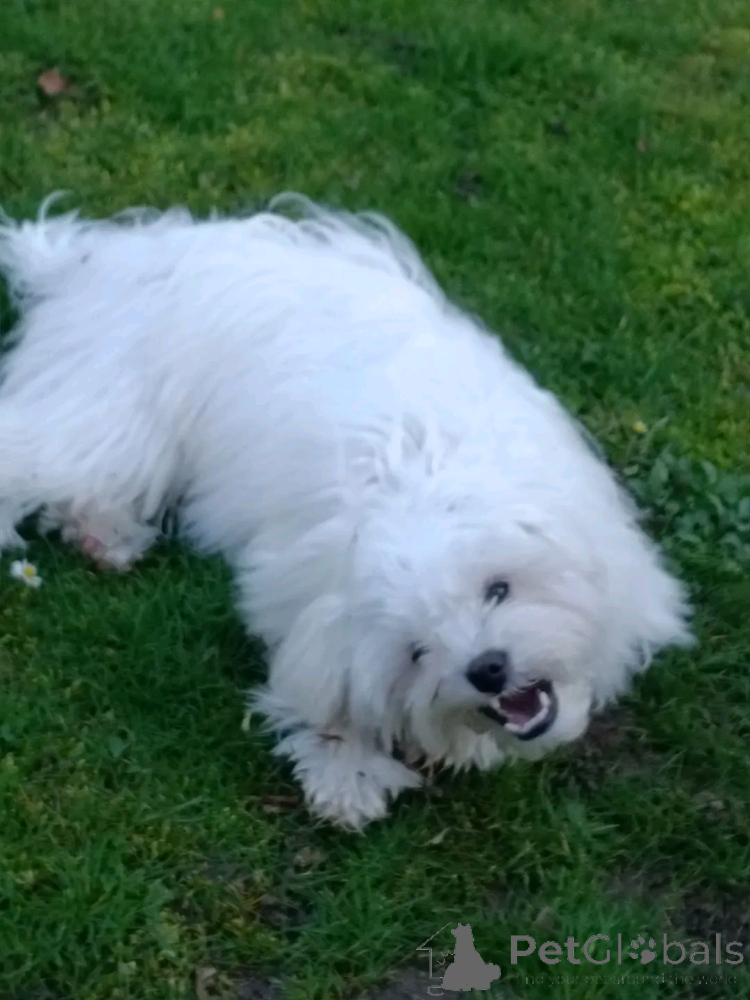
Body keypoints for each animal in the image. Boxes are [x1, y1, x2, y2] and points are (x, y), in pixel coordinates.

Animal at [0, 196, 691, 828]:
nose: (488, 669)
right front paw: (348, 775)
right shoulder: (299, 598)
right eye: (418, 650)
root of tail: (92, 260)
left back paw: (106, 536)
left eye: (499, 589)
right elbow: (329, 701)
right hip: (108, 417)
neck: (416, 476)